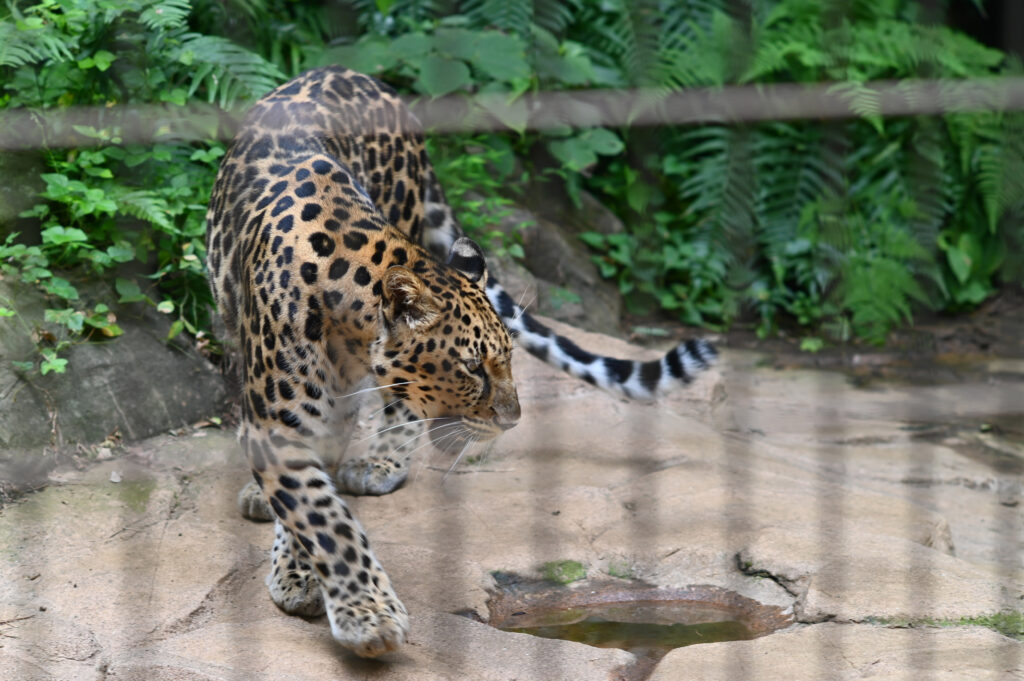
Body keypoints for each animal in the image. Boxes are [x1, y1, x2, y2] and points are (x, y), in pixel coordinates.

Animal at [205, 66, 717, 658]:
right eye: (473, 367)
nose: (513, 420)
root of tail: (359, 76)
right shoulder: (278, 420)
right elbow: (321, 515)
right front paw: (364, 613)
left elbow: (317, 504)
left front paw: (326, 588)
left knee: (398, 411)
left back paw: (380, 464)